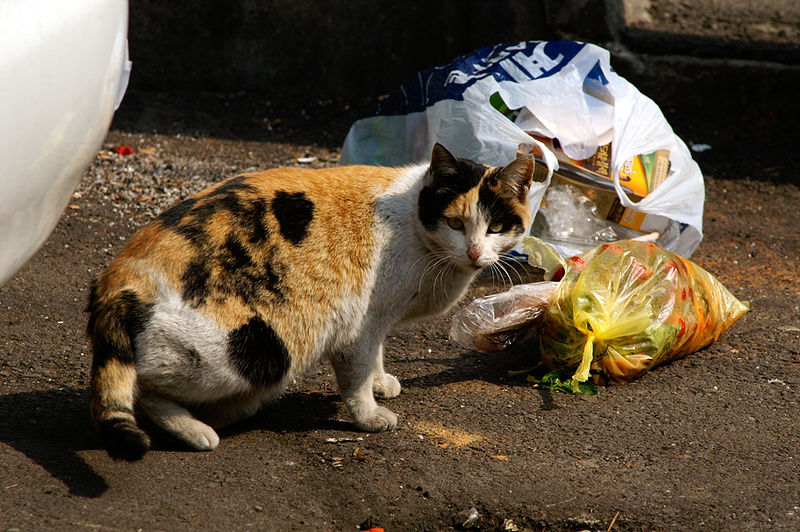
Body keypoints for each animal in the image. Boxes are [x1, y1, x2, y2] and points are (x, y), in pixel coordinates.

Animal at [87, 143, 536, 460]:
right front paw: (370, 415)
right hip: (254, 351)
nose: (475, 252)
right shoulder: (359, 321)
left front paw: (381, 382)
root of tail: (120, 275)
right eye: (455, 223)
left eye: (496, 227)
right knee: (141, 388)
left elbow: (377, 354)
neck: (415, 224)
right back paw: (197, 432)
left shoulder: (377, 318)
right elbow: (356, 376)